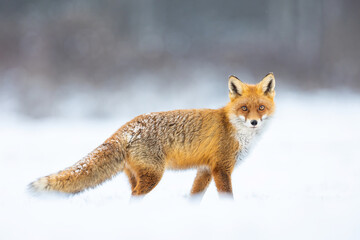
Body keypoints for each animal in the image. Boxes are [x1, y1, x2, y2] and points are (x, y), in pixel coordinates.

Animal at [30, 73, 276, 197]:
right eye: (244, 108)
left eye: (260, 108)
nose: (254, 122)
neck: (233, 128)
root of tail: (127, 127)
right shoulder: (221, 168)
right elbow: (227, 196)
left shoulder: (205, 170)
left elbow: (194, 196)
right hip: (154, 175)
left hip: (138, 176)